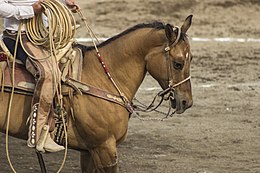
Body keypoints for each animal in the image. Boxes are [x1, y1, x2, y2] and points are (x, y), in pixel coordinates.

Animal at [0, 15, 193, 173]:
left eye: (190, 59)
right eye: (178, 63)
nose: (187, 102)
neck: (103, 77)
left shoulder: (89, 152)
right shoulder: (104, 148)